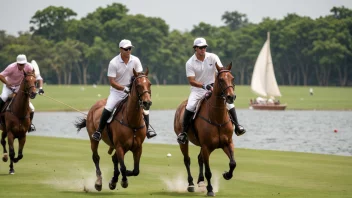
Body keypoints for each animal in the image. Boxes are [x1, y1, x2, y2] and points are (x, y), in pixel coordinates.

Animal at [175, 62, 238, 196]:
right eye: (221, 79)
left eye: (232, 78)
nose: (231, 97)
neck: (217, 118)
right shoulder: (206, 146)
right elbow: (208, 171)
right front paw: (210, 190)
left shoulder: (227, 143)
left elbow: (233, 163)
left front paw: (227, 175)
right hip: (184, 142)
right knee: (187, 160)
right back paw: (191, 184)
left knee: (200, 159)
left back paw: (200, 181)